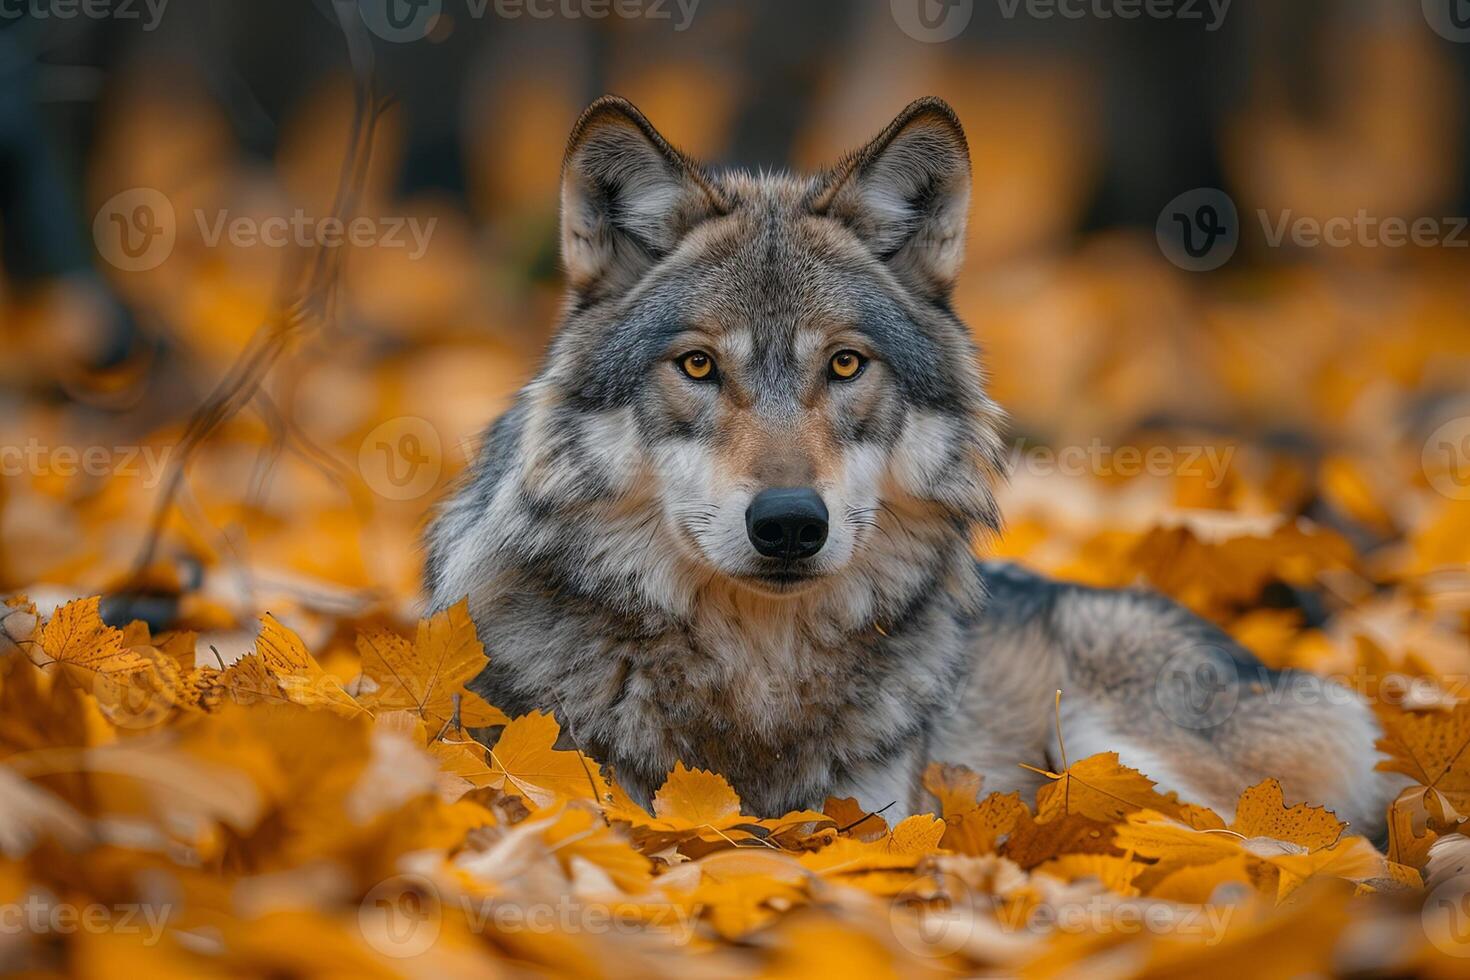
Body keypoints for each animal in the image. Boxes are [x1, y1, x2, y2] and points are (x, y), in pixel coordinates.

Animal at [423, 94, 1399, 846]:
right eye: (697, 366)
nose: (789, 523)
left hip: (1114, 739)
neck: (755, 682)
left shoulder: (882, 820)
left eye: (846, 364)